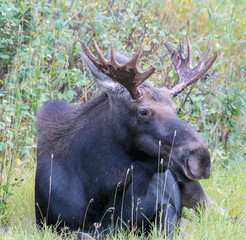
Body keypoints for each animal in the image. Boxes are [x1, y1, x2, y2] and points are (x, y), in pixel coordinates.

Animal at [35, 36, 217, 237]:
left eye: (175, 108)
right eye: (143, 112)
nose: (201, 159)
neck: (100, 190)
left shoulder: (165, 205)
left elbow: (165, 227)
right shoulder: (50, 225)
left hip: (196, 192)